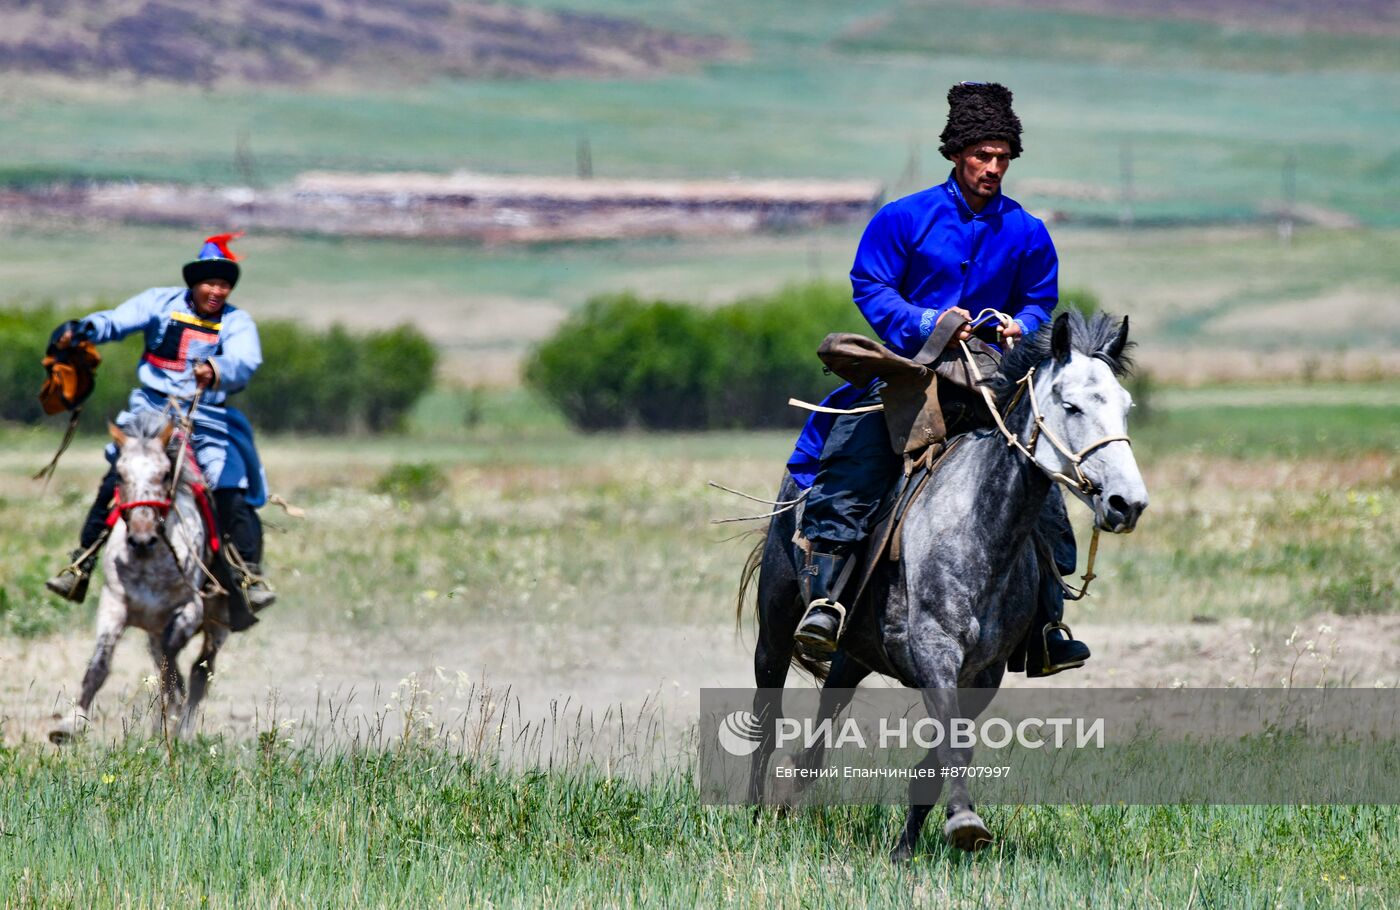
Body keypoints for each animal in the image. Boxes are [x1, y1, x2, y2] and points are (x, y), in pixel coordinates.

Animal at [50, 411, 229, 744]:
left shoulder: (190, 609)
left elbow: (174, 664)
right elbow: (100, 666)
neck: (149, 562)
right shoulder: (114, 605)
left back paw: (182, 729)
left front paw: (174, 715)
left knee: (200, 673)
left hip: (217, 625)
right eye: (119, 475)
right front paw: (70, 724)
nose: (142, 539)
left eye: (164, 474)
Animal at [744, 309, 1148, 856]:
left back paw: (793, 789)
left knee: (829, 709)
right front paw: (964, 824)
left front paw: (907, 847)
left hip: (855, 649)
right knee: (766, 717)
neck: (978, 528)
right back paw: (752, 812)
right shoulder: (935, 651)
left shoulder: (984, 674)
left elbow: (940, 756)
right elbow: (952, 744)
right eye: (1071, 405)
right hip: (776, 627)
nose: (1128, 503)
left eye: (1125, 407)